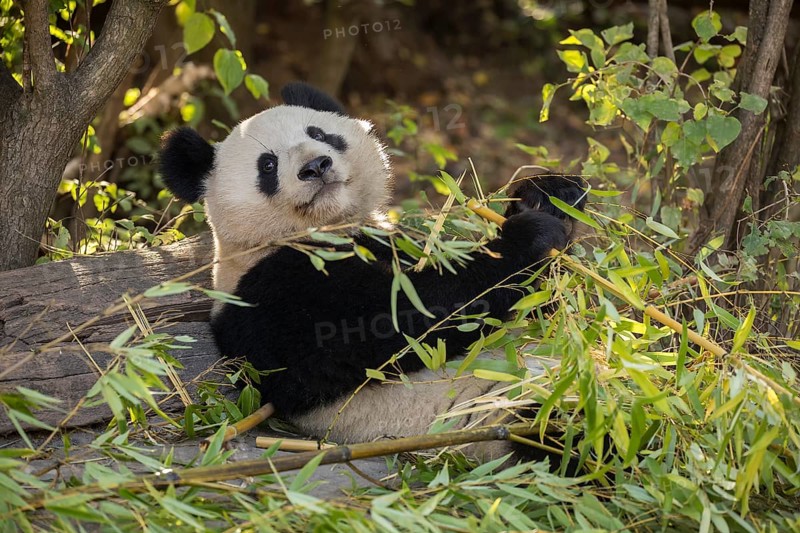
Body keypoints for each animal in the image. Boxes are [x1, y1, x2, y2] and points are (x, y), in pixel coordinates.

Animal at [159, 82, 586, 461]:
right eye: (267, 165)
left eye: (320, 134)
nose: (316, 165)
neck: (328, 230)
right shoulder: (269, 292)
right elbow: (398, 322)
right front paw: (527, 237)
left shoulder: (394, 238)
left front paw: (550, 193)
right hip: (502, 413)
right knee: (564, 432)